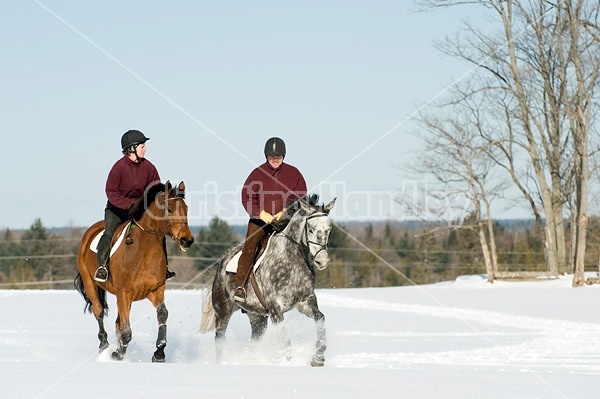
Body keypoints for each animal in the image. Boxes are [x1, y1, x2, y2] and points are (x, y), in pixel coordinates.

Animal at [73, 181, 193, 362]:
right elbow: (126, 330)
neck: (143, 250)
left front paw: (159, 352)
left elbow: (162, 314)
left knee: (116, 322)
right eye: (170, 209)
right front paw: (118, 354)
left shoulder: (155, 290)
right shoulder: (124, 293)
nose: (187, 240)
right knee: (99, 312)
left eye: (186, 208)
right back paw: (104, 347)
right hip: (90, 284)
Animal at [199, 195, 336, 368]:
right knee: (220, 339)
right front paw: (288, 362)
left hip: (257, 317)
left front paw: (318, 357)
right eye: (311, 229)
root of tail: (222, 261)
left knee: (252, 342)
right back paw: (220, 363)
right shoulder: (275, 308)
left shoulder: (305, 301)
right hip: (223, 310)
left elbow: (320, 320)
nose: (322, 261)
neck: (292, 261)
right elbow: (285, 341)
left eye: (328, 230)